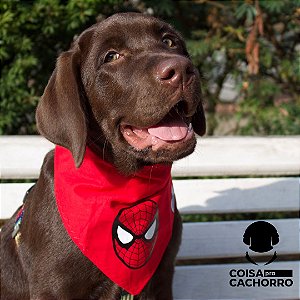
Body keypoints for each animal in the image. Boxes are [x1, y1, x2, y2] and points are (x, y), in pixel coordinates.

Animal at [0, 12, 205, 300]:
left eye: (169, 41)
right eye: (111, 56)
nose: (182, 70)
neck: (128, 182)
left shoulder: (163, 277)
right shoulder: (53, 288)